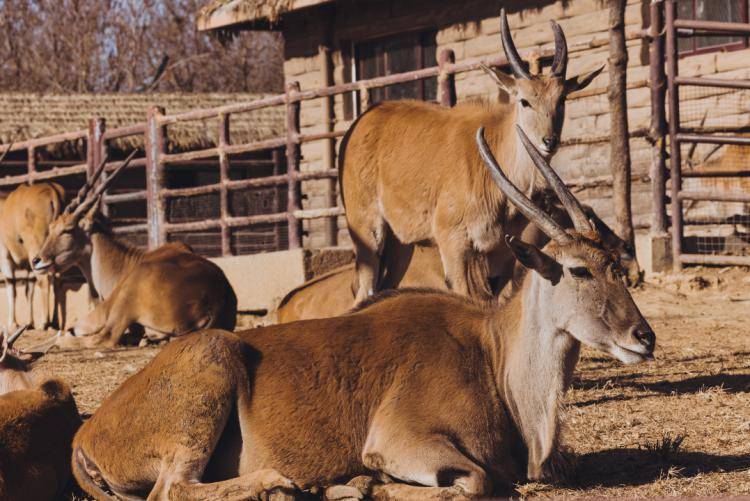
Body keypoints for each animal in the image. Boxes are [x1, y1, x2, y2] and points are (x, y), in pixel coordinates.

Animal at [30, 153, 238, 348]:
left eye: (67, 229)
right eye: (51, 227)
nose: (37, 261)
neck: (126, 262)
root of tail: (216, 299)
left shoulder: (102, 312)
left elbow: (66, 331)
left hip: (125, 302)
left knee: (102, 338)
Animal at [70, 127, 656, 498]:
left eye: (615, 263)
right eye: (579, 270)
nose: (643, 336)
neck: (495, 358)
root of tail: (87, 433)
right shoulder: (402, 443)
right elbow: (475, 481)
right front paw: (358, 484)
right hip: (210, 369)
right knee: (173, 490)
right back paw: (281, 486)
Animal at [340, 8, 604, 304]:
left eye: (561, 100)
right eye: (524, 101)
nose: (549, 141)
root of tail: (361, 123)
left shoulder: (501, 255)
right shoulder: (453, 243)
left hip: (401, 244)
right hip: (368, 231)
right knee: (364, 290)